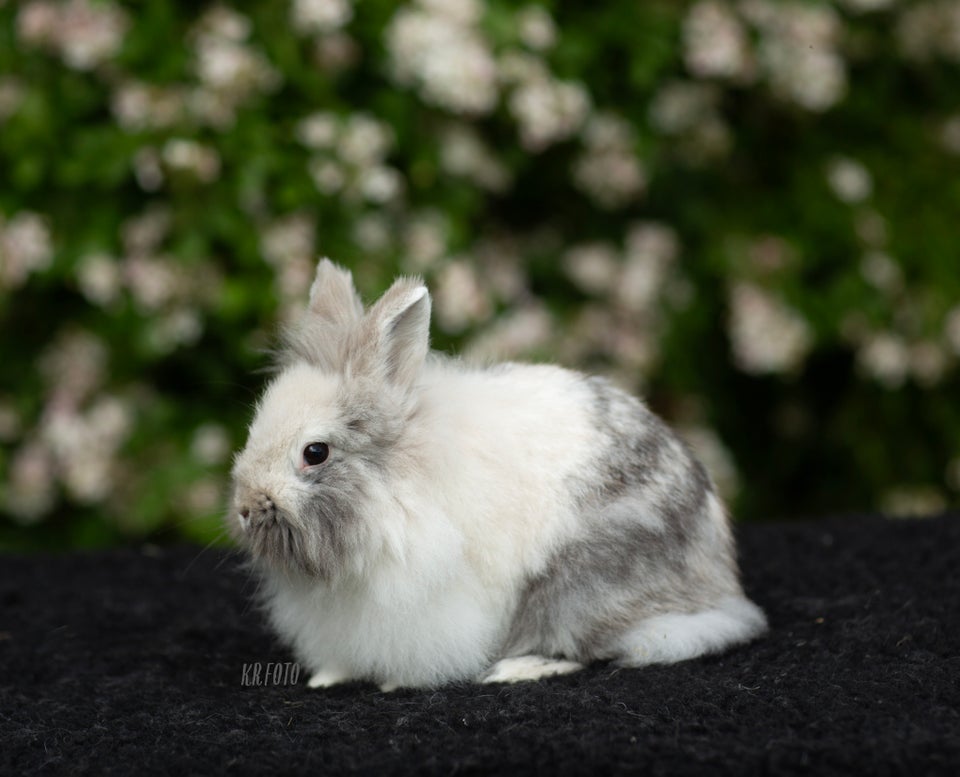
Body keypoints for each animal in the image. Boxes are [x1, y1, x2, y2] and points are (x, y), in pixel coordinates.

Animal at [231, 258, 764, 688]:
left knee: (579, 647)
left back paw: (515, 669)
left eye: (315, 452)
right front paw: (326, 678)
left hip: (578, 589)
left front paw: (393, 683)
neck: (394, 488)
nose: (244, 508)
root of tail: (720, 589)